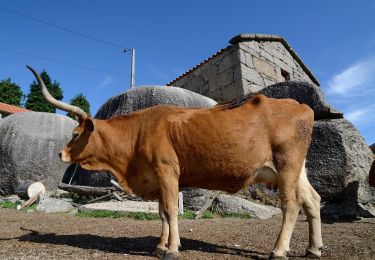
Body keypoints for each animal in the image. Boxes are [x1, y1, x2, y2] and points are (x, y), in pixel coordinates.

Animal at [28, 66, 324, 258]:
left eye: (76, 134)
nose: (61, 154)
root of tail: (300, 106)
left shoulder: (167, 171)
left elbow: (171, 210)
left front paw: (171, 249)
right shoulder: (158, 179)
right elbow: (162, 213)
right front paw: (160, 246)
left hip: (287, 165)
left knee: (291, 205)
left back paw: (279, 250)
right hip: (296, 170)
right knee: (312, 200)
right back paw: (313, 249)